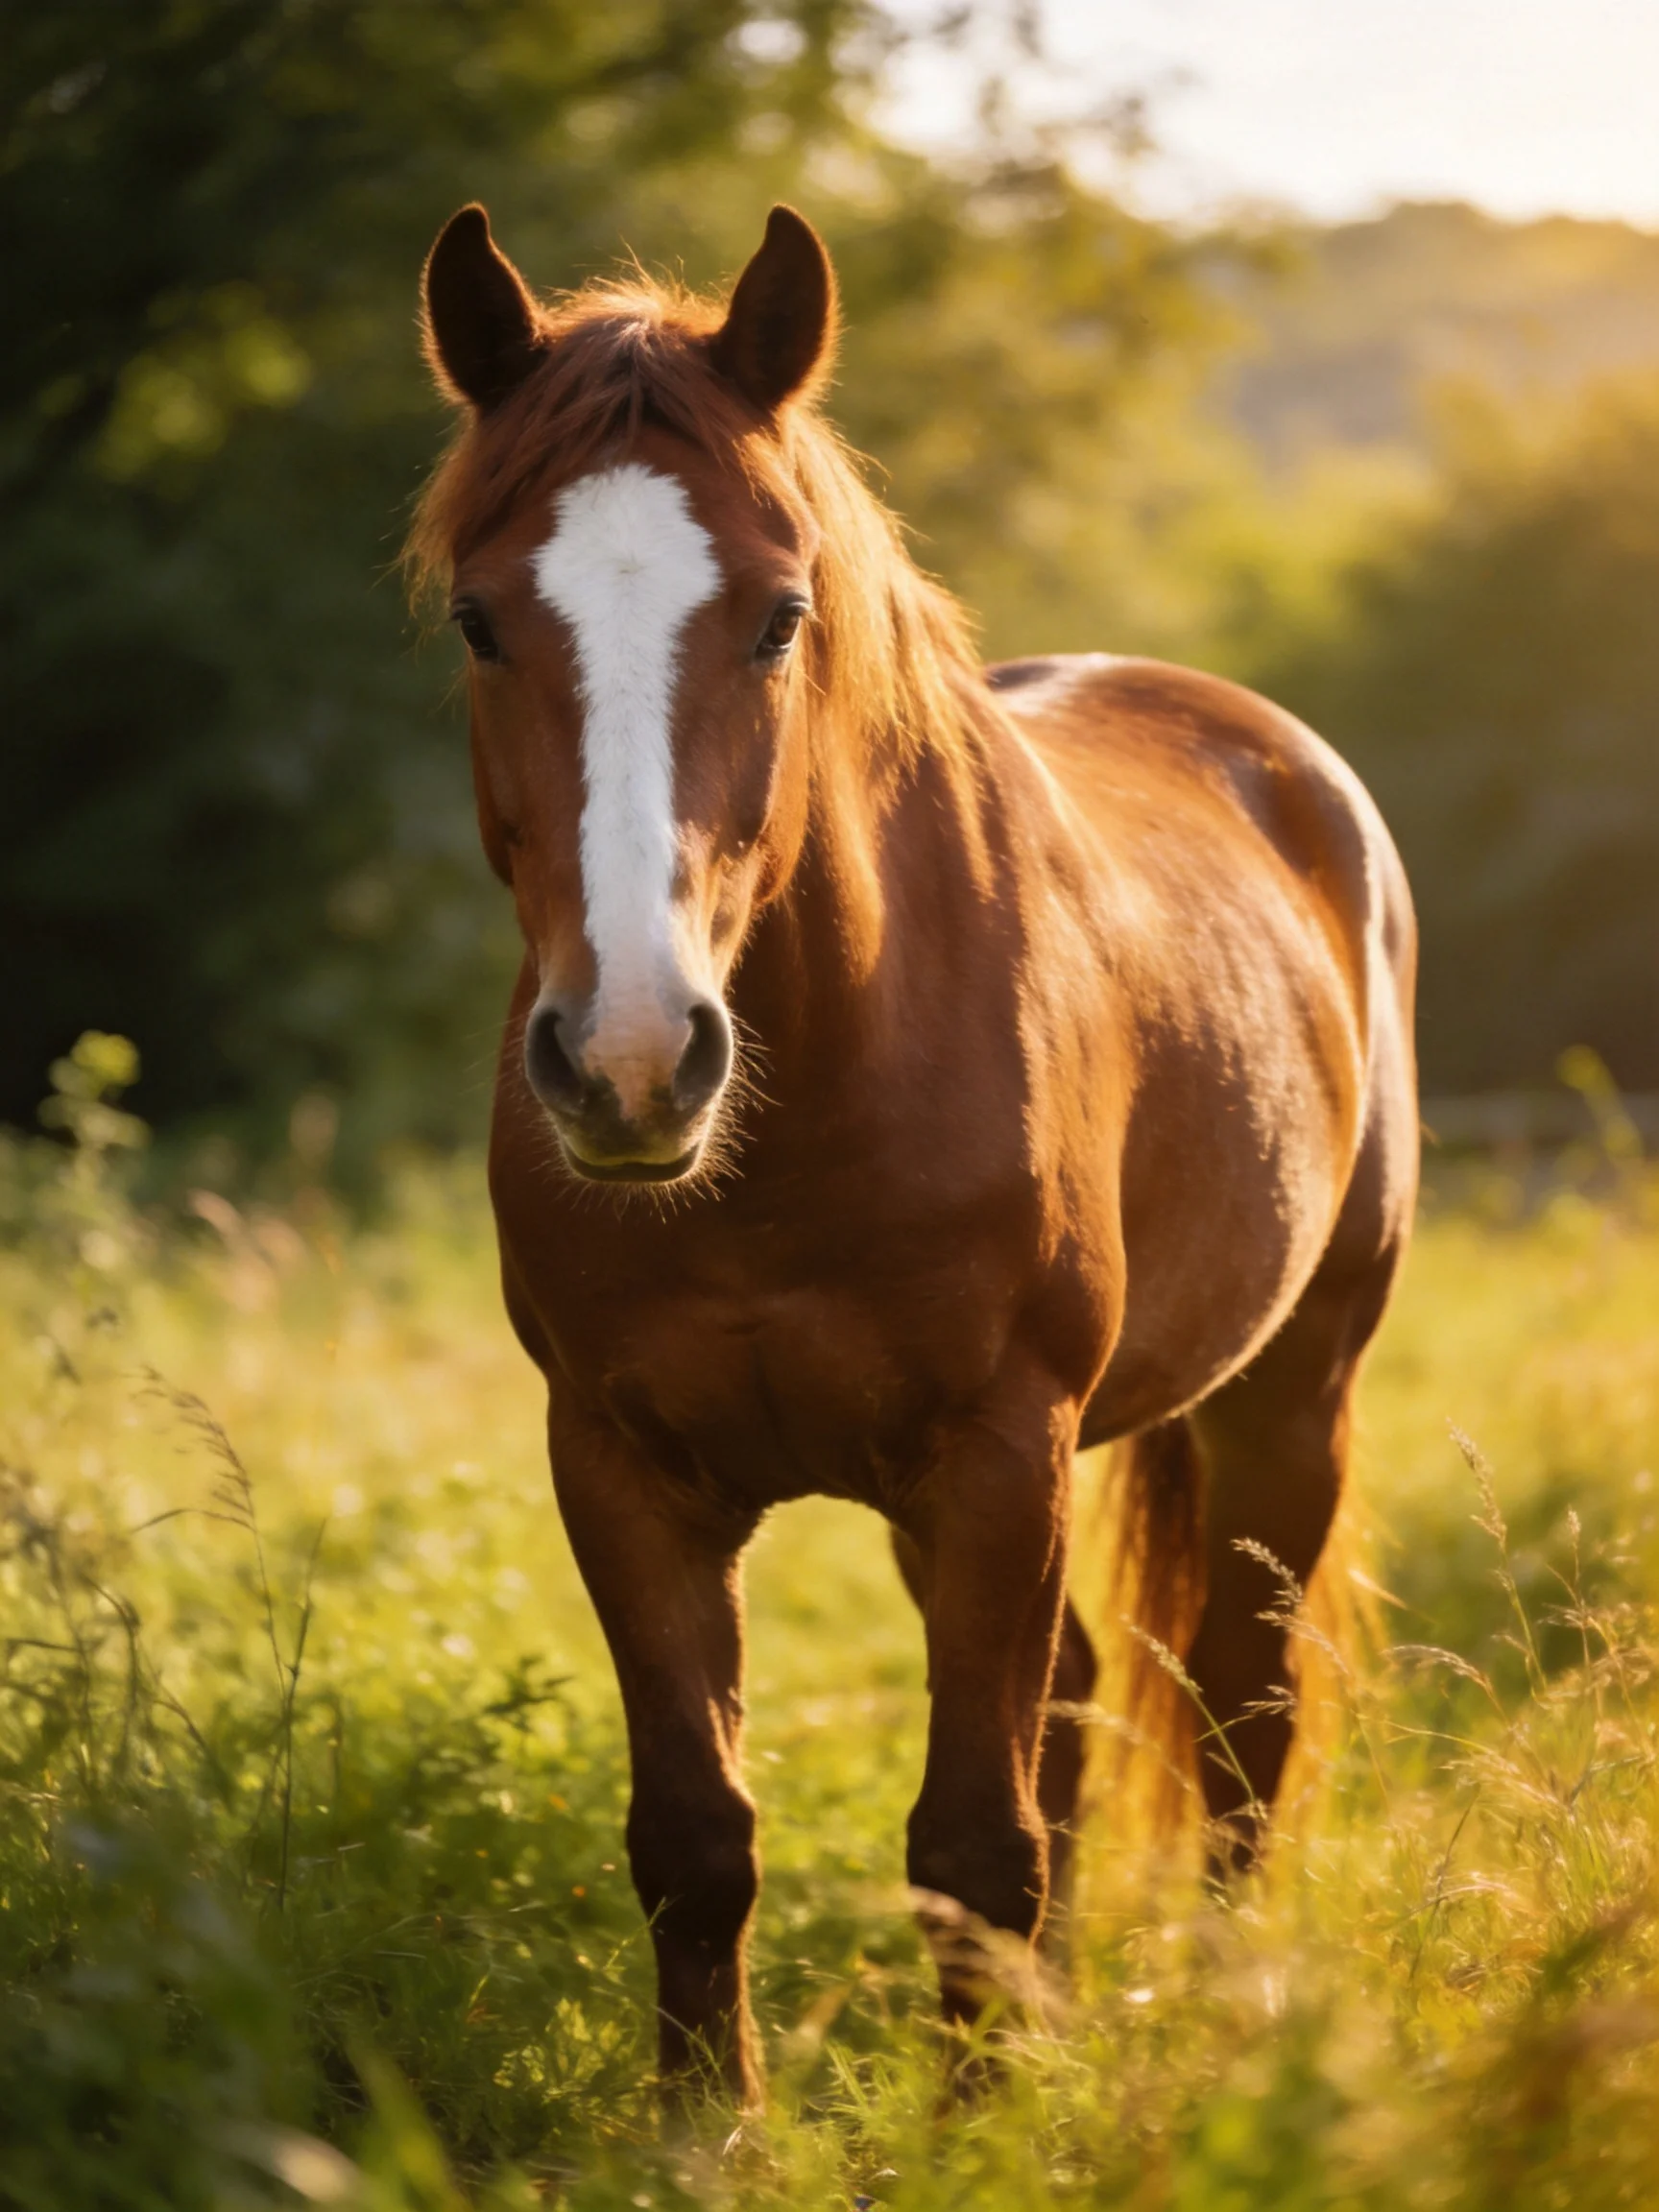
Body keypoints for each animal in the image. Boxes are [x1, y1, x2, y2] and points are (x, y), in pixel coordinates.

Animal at [410, 202, 1419, 2105]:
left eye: (780, 615)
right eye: (484, 620)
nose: (633, 1060)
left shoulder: (999, 1454)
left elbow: (971, 1835)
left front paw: (977, 2124)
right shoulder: (624, 1468)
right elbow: (698, 1836)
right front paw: (709, 2129)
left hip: (1290, 1393)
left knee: (1237, 1715)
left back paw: (1228, 2008)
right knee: (1084, 1703)